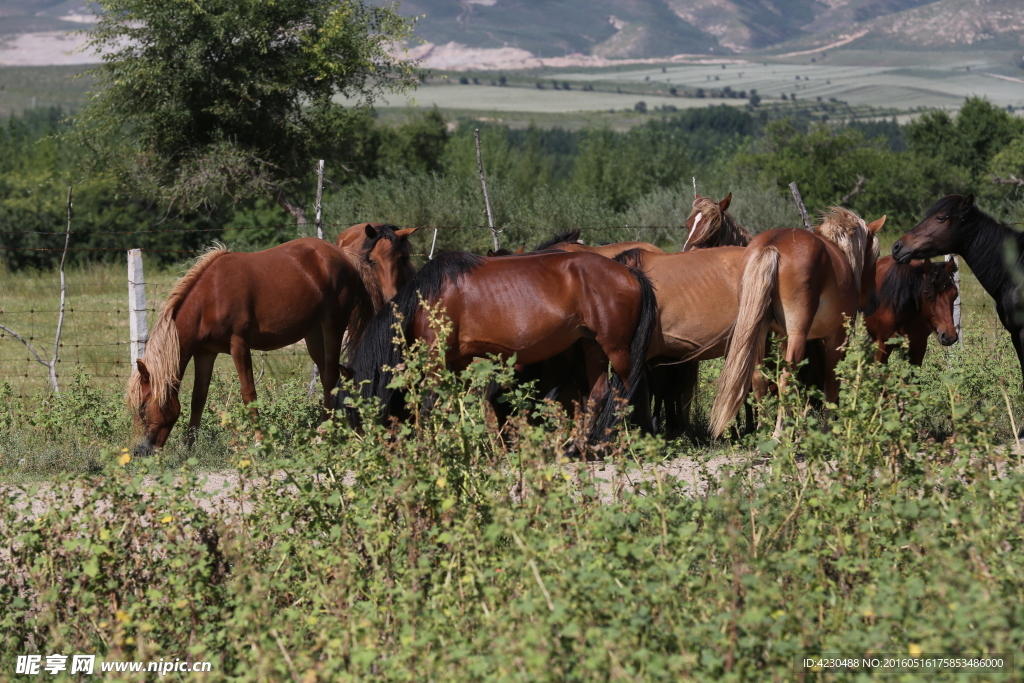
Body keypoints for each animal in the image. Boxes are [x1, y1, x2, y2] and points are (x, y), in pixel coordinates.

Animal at [126, 237, 385, 456]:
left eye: (142, 407)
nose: (142, 450)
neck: (211, 297)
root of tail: (344, 255)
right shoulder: (205, 353)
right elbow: (198, 397)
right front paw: (190, 447)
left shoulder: (239, 345)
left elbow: (248, 393)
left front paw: (261, 443)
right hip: (314, 334)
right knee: (335, 376)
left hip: (334, 324)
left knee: (331, 375)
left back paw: (322, 434)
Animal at [352, 250, 655, 448]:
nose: (362, 443)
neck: (427, 298)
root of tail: (629, 272)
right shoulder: (460, 364)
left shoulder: (437, 362)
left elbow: (430, 405)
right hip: (592, 347)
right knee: (599, 394)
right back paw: (577, 446)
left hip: (616, 349)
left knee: (629, 392)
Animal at [708, 205, 884, 438]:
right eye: (875, 254)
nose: (874, 302)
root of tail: (773, 245)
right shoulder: (836, 338)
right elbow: (831, 384)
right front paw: (828, 430)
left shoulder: (782, 336)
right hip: (798, 337)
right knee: (786, 380)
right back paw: (778, 434)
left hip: (760, 334)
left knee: (759, 377)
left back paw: (764, 433)